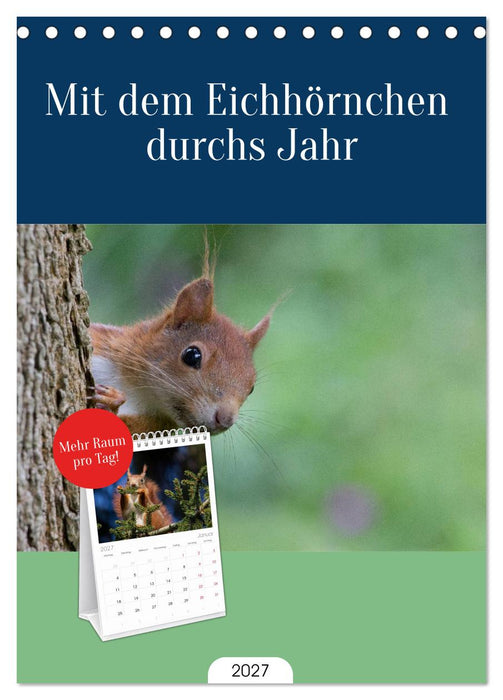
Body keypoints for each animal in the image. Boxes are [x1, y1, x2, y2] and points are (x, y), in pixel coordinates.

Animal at [89, 243, 273, 435]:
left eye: (252, 387)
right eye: (192, 355)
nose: (225, 420)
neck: (137, 390)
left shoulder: (155, 425)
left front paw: (112, 402)